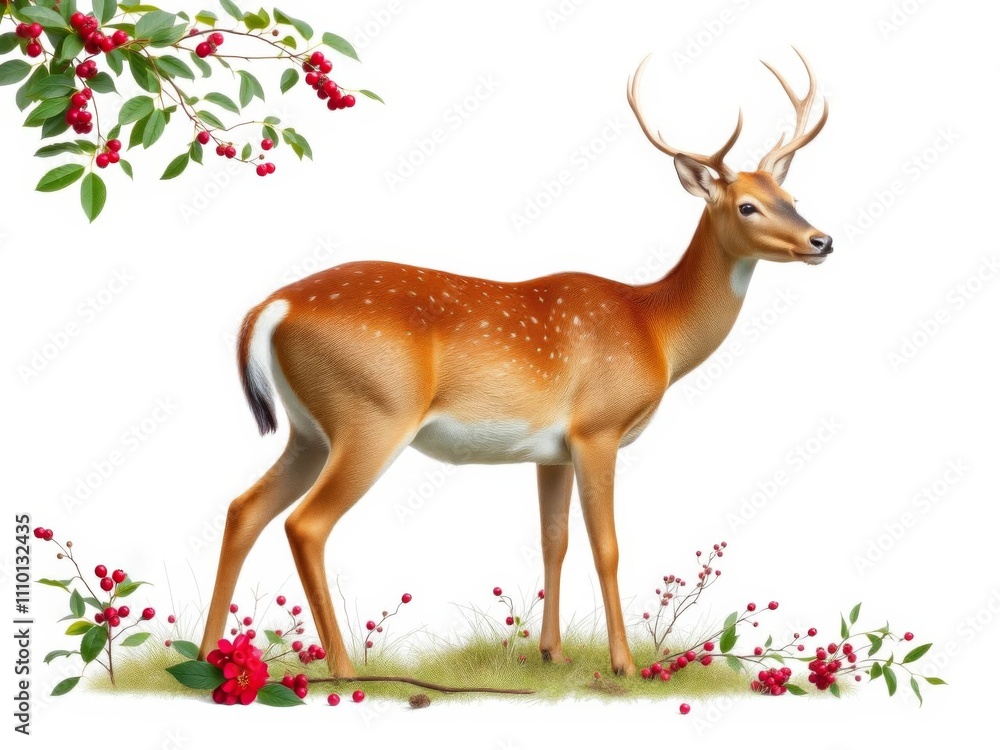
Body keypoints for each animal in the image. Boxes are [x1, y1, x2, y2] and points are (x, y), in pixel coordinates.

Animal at [198, 49, 831, 678]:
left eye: (792, 199)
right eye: (748, 206)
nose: (821, 240)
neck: (653, 327)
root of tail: (271, 306)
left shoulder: (551, 450)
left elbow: (555, 540)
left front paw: (552, 652)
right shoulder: (597, 429)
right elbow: (607, 546)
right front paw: (623, 665)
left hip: (309, 429)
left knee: (242, 508)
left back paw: (206, 657)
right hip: (372, 414)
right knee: (305, 524)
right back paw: (345, 670)